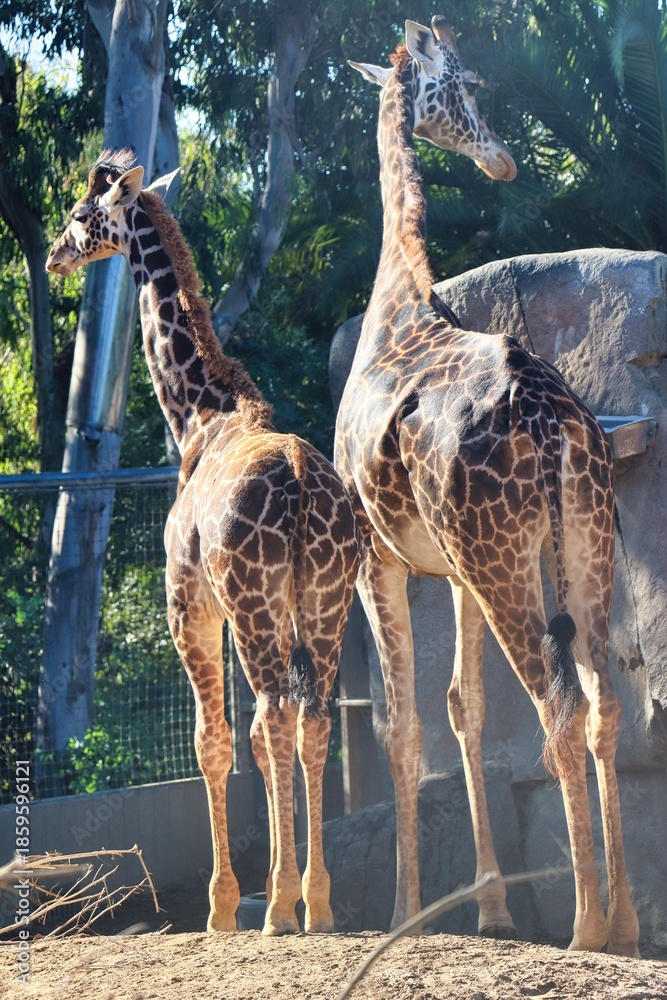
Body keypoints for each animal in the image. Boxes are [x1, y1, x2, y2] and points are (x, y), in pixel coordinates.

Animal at [46, 149, 359, 936]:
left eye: (80, 214)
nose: (56, 254)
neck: (195, 417)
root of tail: (305, 484)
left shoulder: (187, 604)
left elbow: (211, 742)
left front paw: (222, 906)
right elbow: (252, 743)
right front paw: (280, 891)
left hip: (250, 604)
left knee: (275, 714)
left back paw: (275, 906)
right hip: (327, 601)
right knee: (311, 719)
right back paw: (317, 903)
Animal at [335, 16, 640, 956]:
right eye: (462, 88)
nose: (501, 160)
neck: (399, 300)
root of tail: (554, 427)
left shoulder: (379, 559)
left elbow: (402, 726)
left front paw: (405, 908)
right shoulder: (455, 572)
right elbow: (462, 706)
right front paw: (493, 910)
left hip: (506, 559)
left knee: (555, 707)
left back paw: (584, 926)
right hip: (582, 540)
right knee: (601, 701)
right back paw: (625, 921)